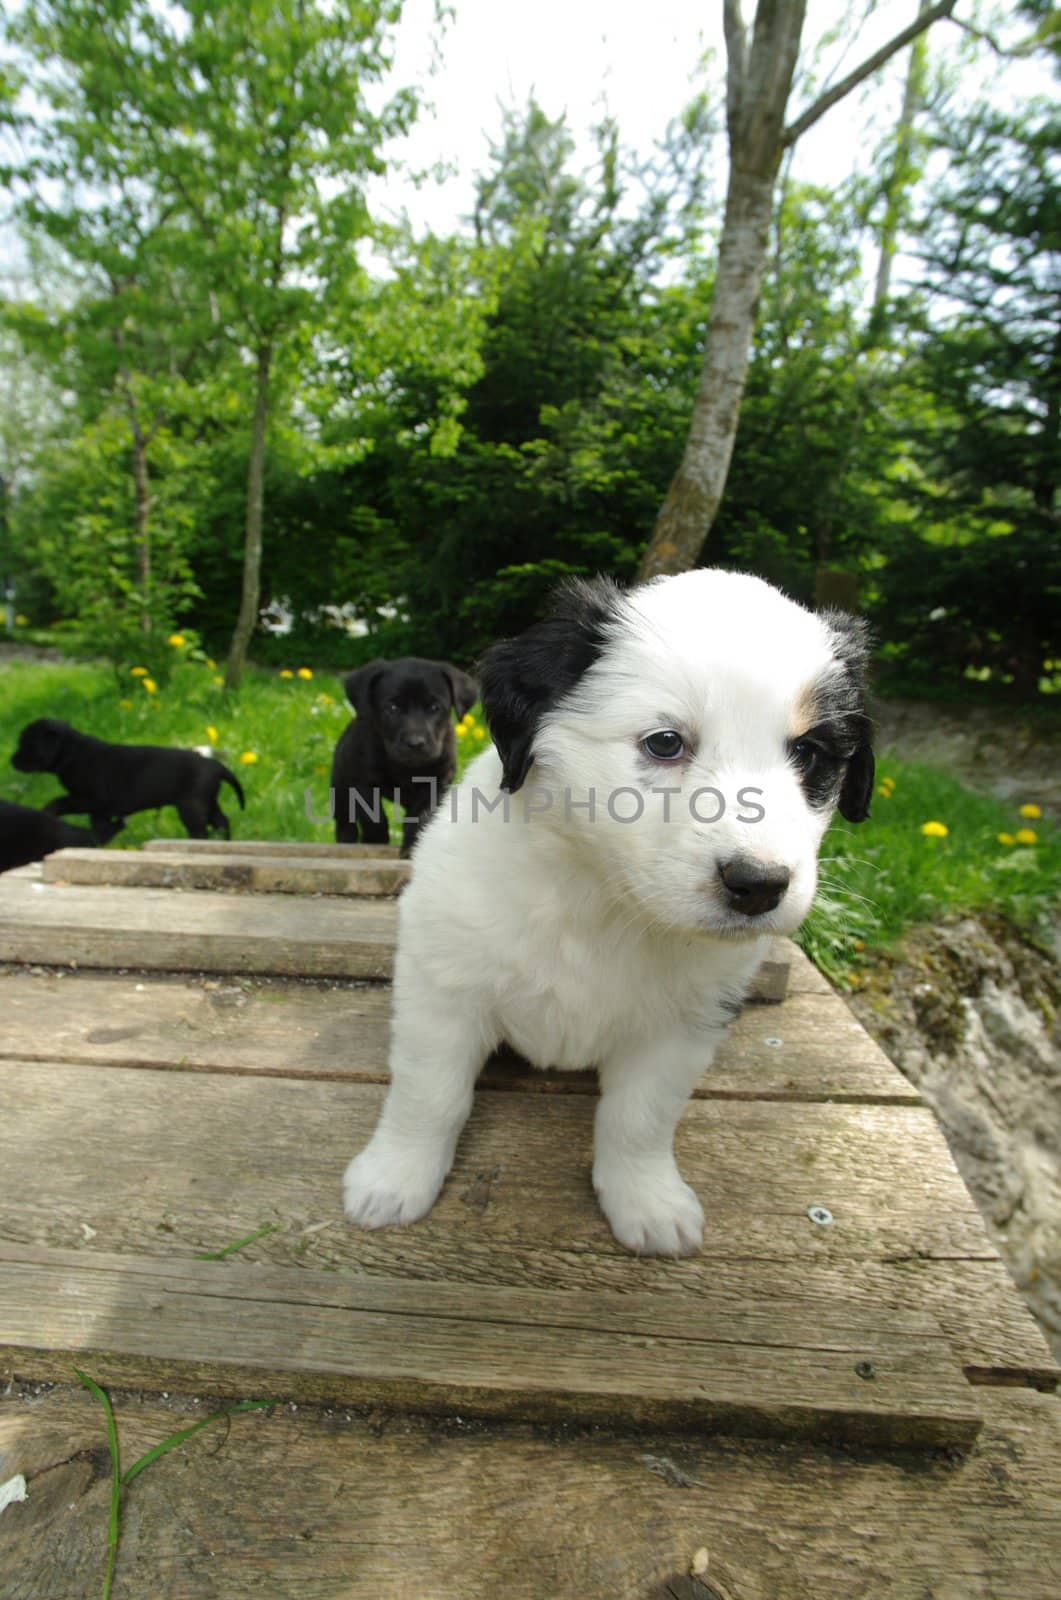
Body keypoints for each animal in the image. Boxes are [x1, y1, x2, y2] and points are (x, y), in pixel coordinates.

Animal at [11, 713, 246, 838]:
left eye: (26, 743)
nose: (11, 760)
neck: (72, 751)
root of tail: (215, 764)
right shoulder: (100, 808)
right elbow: (99, 825)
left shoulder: (90, 798)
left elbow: (60, 801)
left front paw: (48, 812)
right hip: (208, 802)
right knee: (222, 822)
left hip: (192, 807)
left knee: (201, 830)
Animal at [332, 656, 476, 857]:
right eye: (393, 708)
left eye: (434, 707)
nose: (415, 743)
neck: (407, 768)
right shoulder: (362, 783)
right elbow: (373, 817)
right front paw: (375, 840)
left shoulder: (436, 783)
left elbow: (420, 818)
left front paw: (412, 849)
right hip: (339, 787)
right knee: (344, 822)